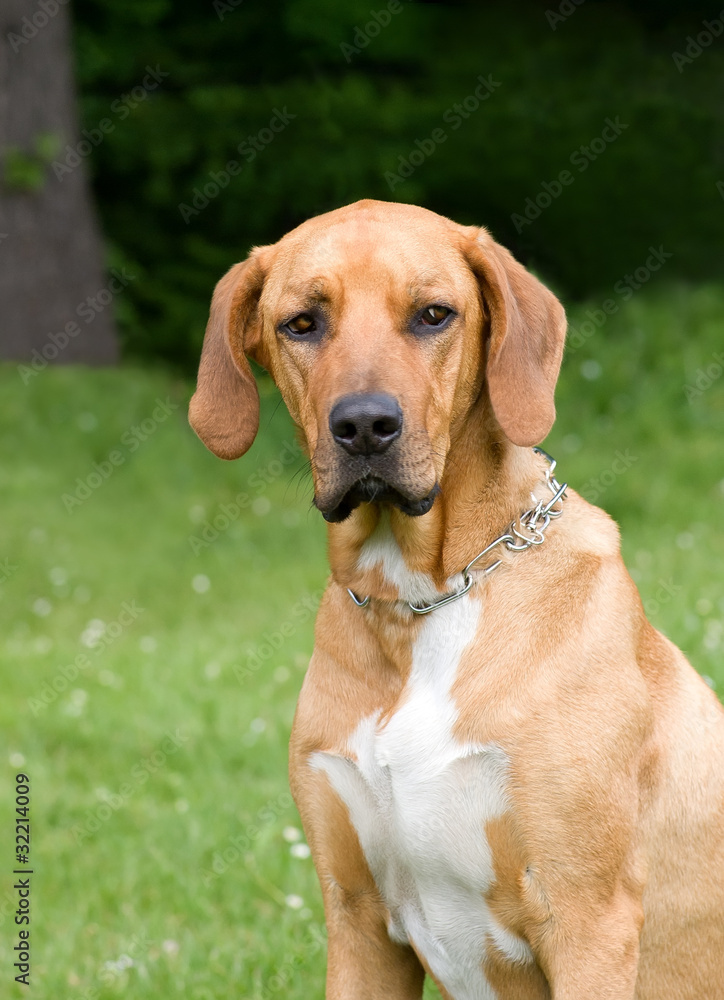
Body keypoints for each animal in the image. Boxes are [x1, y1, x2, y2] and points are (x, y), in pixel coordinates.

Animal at [188, 199, 724, 996]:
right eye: (302, 322)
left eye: (434, 314)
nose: (364, 426)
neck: (418, 599)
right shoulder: (357, 922)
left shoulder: (588, 920)